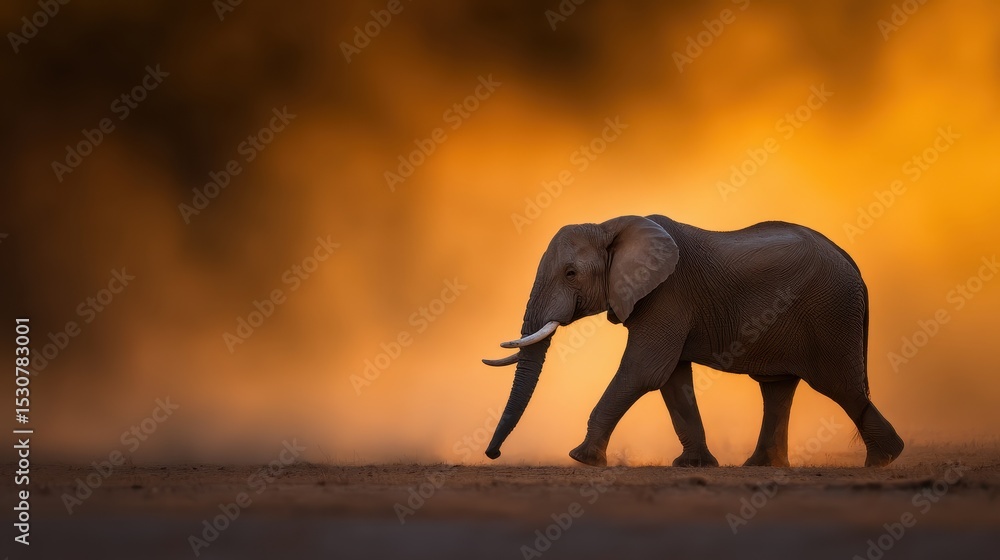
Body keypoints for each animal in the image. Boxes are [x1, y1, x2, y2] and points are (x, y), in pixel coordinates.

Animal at [482, 215, 904, 468]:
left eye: (571, 274)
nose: (492, 453)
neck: (610, 225)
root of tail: (852, 264)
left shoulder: (667, 294)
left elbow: (645, 371)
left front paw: (582, 458)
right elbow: (671, 380)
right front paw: (694, 465)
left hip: (831, 313)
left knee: (842, 386)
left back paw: (883, 460)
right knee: (778, 387)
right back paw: (761, 466)